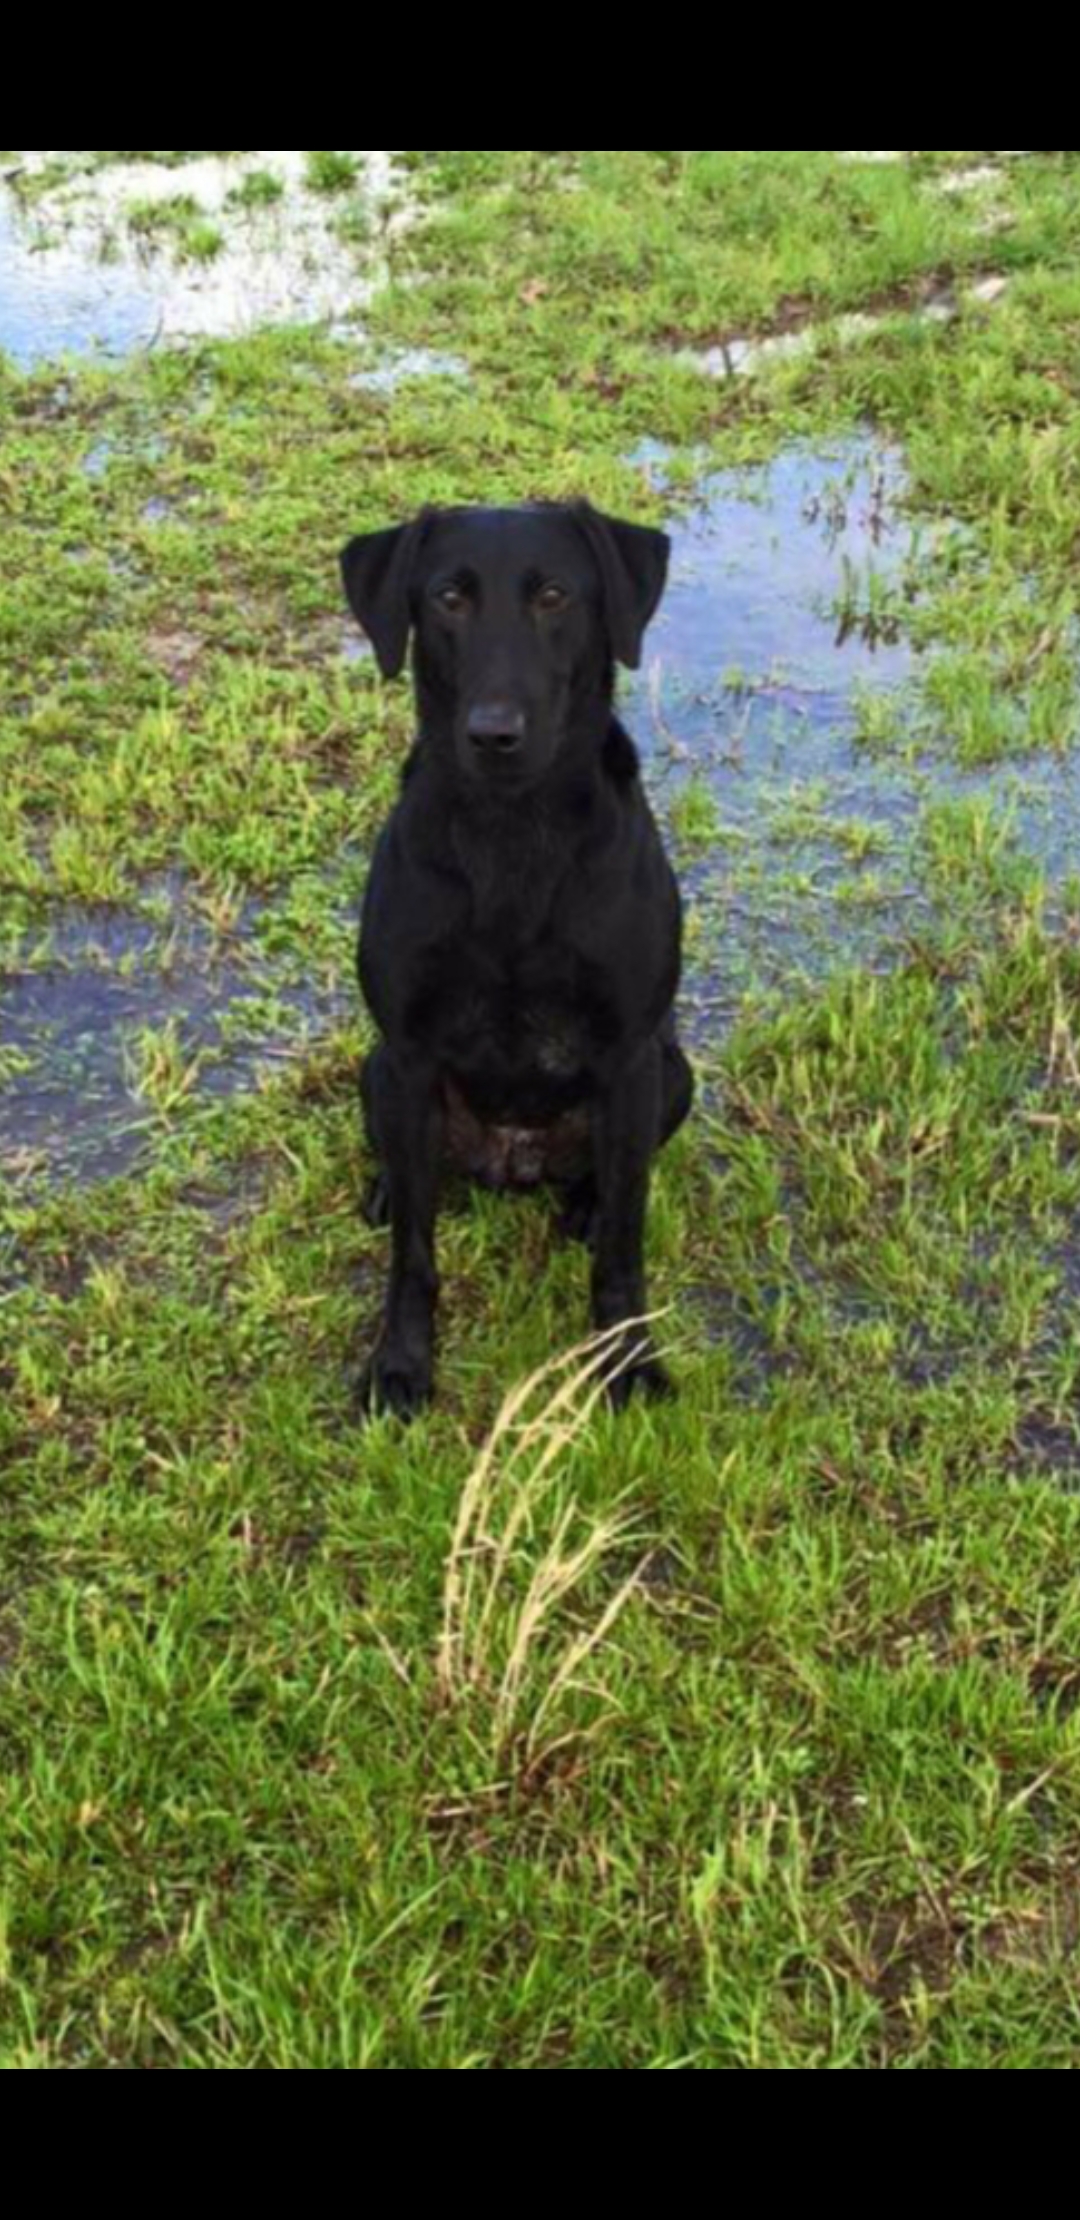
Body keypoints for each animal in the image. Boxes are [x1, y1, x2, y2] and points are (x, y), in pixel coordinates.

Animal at [342, 499, 697, 1420]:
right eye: (449, 598)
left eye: (552, 595)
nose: (494, 734)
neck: (513, 834)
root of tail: (514, 1158)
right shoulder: (407, 1053)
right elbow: (413, 1256)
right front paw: (400, 1364)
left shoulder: (628, 1057)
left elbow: (623, 1253)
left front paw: (627, 1363)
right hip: (375, 1073)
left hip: (673, 1076)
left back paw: (584, 1202)